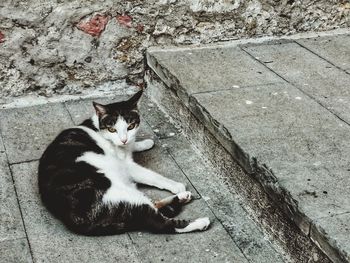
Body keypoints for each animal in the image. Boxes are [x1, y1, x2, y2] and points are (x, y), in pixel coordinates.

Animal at [37, 89, 211, 236]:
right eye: (112, 129)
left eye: (131, 126)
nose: (123, 139)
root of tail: (75, 221)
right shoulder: (127, 165)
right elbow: (152, 176)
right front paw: (175, 185)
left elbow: (134, 146)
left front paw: (143, 143)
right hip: (121, 197)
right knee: (160, 222)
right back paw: (200, 221)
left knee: (154, 205)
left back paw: (183, 197)